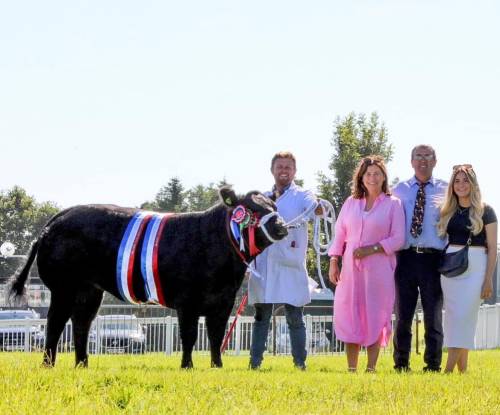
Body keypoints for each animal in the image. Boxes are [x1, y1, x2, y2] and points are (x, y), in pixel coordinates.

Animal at [9, 187, 288, 368]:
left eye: (274, 207)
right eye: (252, 209)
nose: (281, 226)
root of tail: (56, 219)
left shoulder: (224, 300)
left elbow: (216, 334)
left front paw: (216, 366)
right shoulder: (187, 300)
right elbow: (189, 335)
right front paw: (187, 367)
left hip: (89, 289)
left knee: (81, 323)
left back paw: (82, 364)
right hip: (63, 286)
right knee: (55, 323)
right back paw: (49, 364)